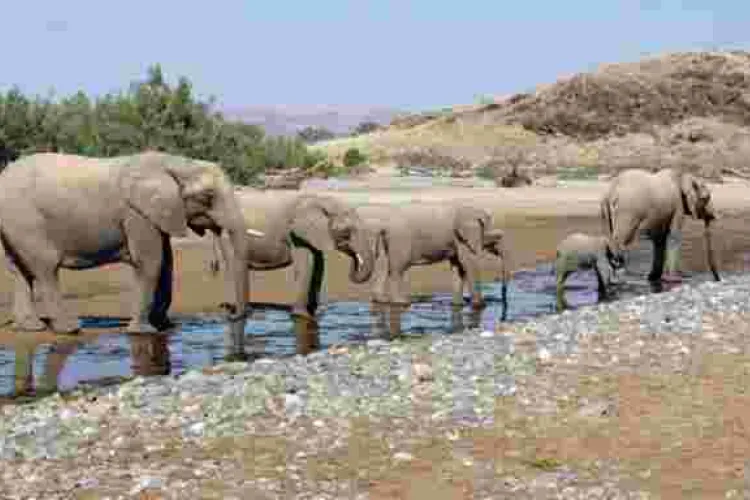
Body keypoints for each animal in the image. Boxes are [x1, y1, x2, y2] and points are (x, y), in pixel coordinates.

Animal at [0, 151, 251, 335]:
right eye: (208, 197)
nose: (228, 313)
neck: (174, 162)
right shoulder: (136, 214)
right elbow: (151, 262)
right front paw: (143, 330)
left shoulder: (156, 214)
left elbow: (166, 263)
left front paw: (165, 325)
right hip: (26, 220)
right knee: (45, 268)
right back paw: (70, 328)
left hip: (13, 223)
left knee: (20, 269)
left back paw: (29, 327)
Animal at [207, 191, 378, 322]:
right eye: (347, 232)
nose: (352, 254)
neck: (320, 200)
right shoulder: (295, 234)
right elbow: (306, 266)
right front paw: (303, 316)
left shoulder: (313, 234)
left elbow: (319, 266)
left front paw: (315, 313)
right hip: (228, 237)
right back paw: (233, 312)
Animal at [353, 203, 509, 310]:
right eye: (497, 237)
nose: (503, 298)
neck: (471, 210)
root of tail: (384, 225)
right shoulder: (462, 238)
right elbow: (468, 264)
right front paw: (479, 306)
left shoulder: (455, 241)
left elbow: (458, 267)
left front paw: (457, 305)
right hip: (400, 240)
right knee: (397, 269)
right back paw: (402, 303)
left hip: (387, 241)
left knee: (384, 266)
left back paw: (382, 301)